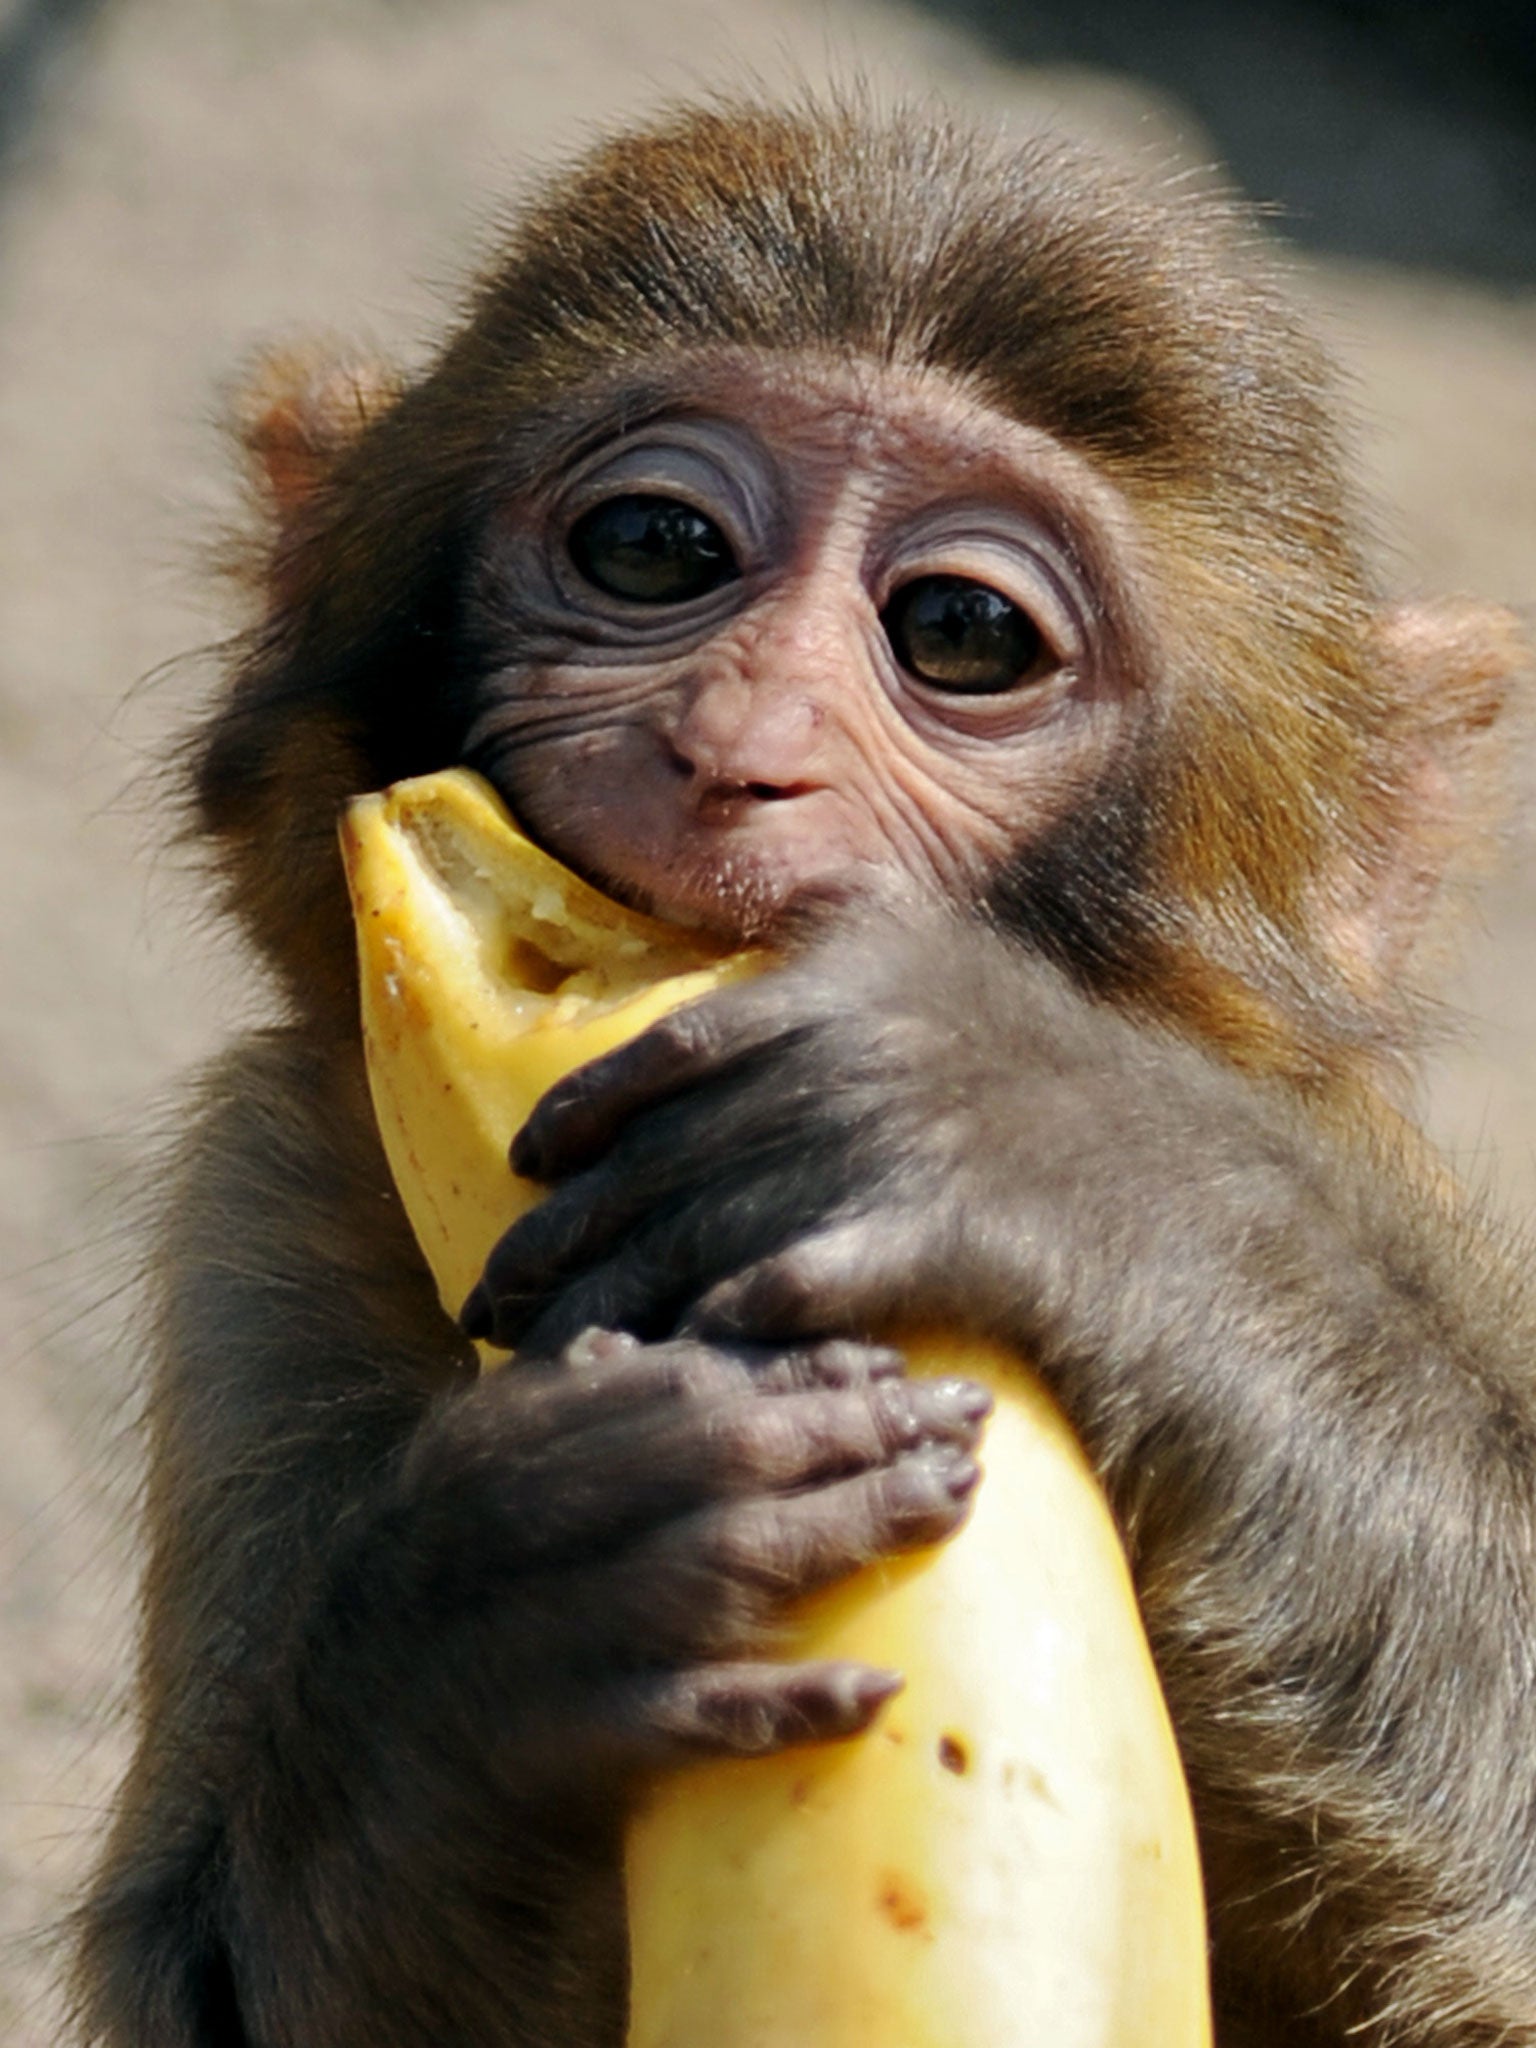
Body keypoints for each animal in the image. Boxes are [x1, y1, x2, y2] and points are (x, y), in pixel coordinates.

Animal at [75, 99, 1536, 2048]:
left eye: (964, 635)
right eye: (654, 547)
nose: (735, 744)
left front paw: (1054, 1151)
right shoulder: (266, 1202)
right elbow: (199, 1979)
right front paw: (499, 1613)